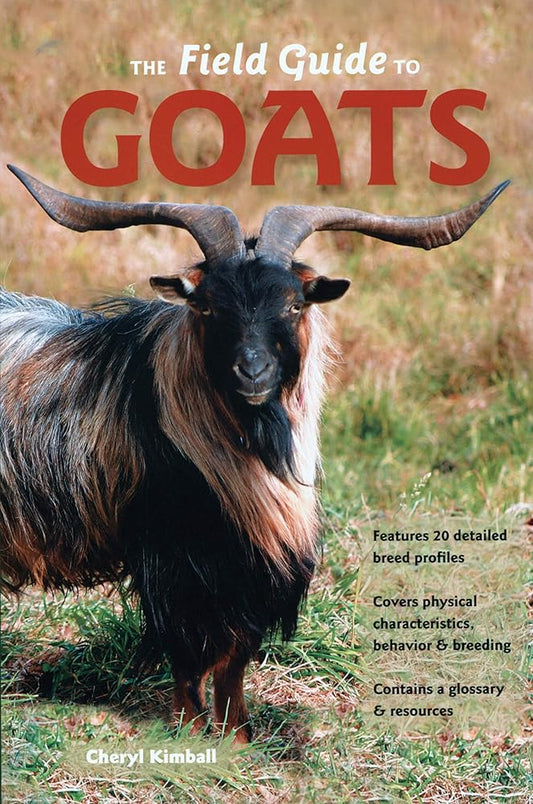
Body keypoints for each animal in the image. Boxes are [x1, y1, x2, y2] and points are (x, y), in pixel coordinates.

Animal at [0, 166, 508, 741]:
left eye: (293, 303)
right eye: (208, 305)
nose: (253, 372)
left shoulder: (246, 572)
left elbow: (234, 658)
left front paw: (238, 737)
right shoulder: (175, 561)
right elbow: (188, 656)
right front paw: (191, 732)